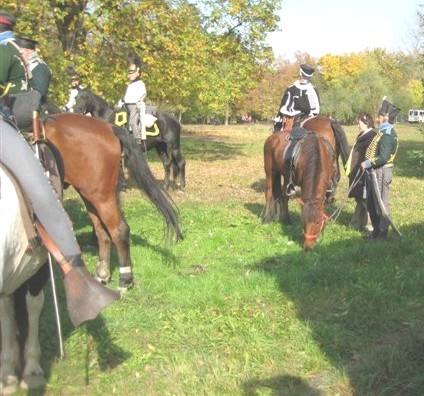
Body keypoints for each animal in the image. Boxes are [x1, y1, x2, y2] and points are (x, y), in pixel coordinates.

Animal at [42, 113, 183, 290]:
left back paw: (125, 278)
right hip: (90, 195)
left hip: (101, 196)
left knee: (119, 230)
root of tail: (108, 127)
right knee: (102, 231)